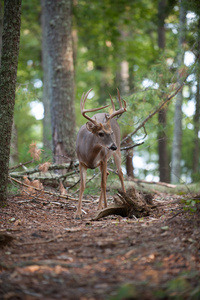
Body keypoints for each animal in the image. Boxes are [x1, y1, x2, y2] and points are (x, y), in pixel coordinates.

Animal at [75, 87, 126, 218]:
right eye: (100, 133)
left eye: (111, 132)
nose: (113, 146)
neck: (89, 155)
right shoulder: (81, 162)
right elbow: (82, 186)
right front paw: (78, 213)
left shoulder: (103, 159)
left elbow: (103, 184)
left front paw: (106, 207)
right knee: (107, 173)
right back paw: (100, 205)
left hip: (117, 151)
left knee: (120, 173)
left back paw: (123, 196)